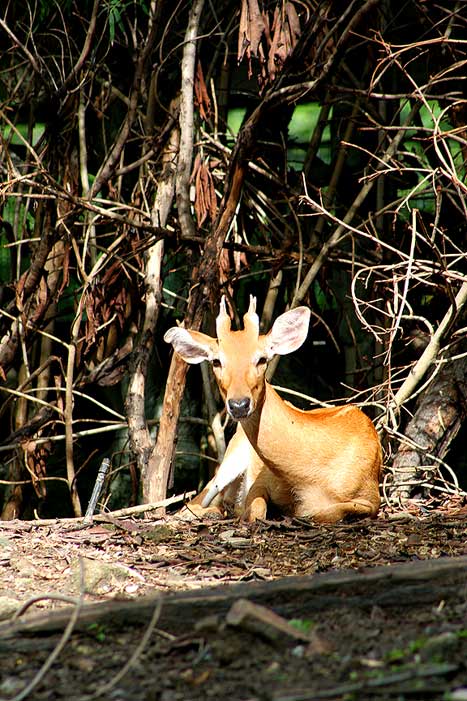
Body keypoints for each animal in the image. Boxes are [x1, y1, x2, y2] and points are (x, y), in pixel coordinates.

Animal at [163, 294, 382, 520]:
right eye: (216, 361)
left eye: (261, 359)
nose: (239, 405)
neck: (310, 481)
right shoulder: (260, 481)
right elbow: (258, 510)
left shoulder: (373, 498)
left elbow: (327, 513)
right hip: (228, 460)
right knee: (190, 505)